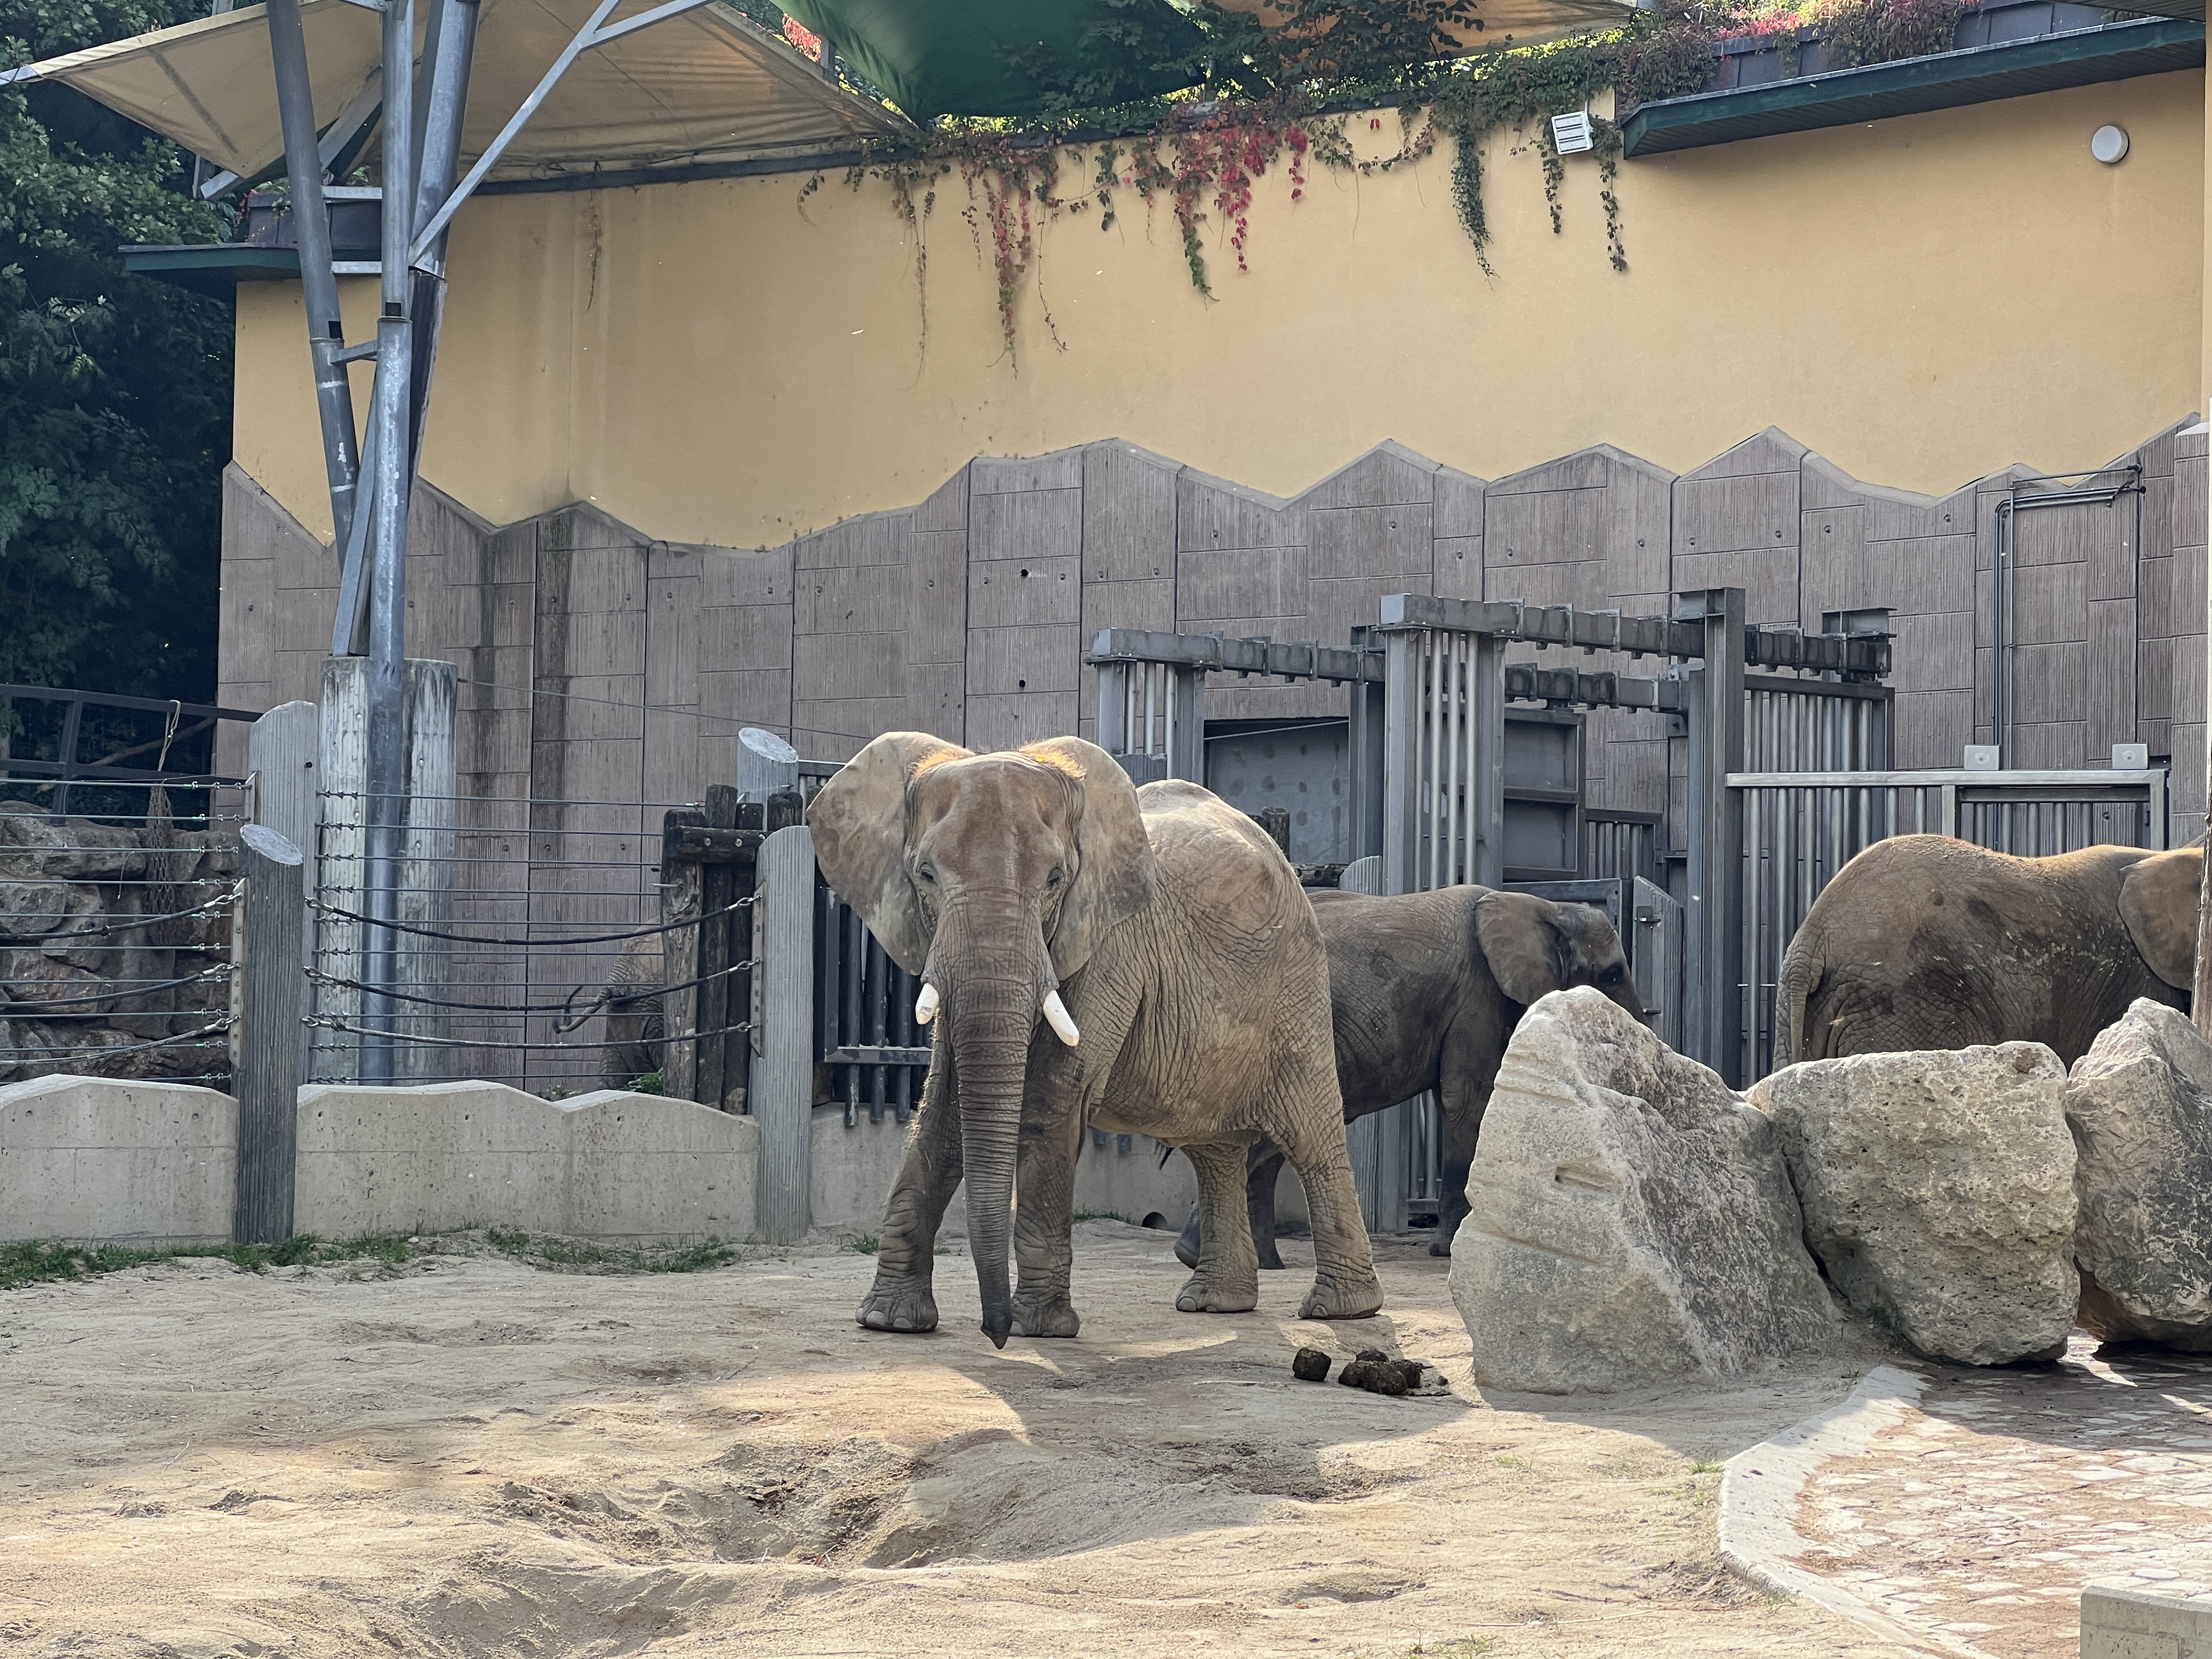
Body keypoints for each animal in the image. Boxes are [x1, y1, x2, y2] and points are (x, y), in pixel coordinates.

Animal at [807, 732, 1385, 1348]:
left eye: (1055, 880)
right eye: (926, 876)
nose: (994, 1332)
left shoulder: (1109, 942)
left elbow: (1052, 1096)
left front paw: (1041, 1330)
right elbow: (944, 1106)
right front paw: (890, 1321)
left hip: (1298, 987)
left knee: (1312, 1136)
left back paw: (1341, 1311)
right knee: (1214, 1149)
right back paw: (1215, 1304)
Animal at [1174, 885, 1645, 1271]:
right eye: (1614, 974)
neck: (1544, 905)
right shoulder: (1477, 996)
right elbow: (1467, 1100)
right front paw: (1449, 1252)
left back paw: (1249, 1262)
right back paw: (1203, 1257)